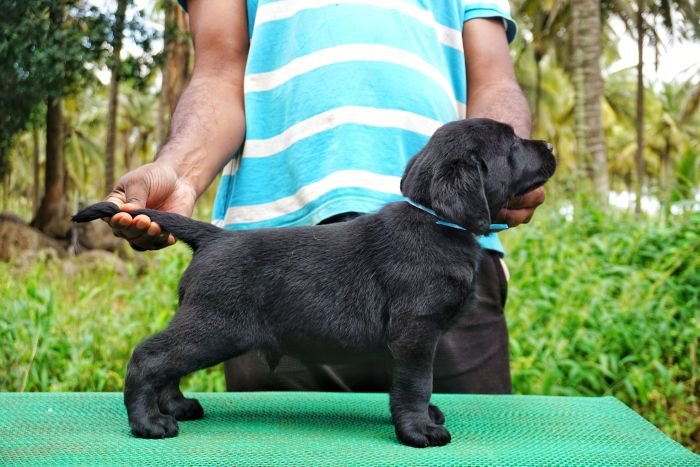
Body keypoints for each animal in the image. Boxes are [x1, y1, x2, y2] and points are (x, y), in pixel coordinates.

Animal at [74, 119, 556, 448]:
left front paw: (425, 417)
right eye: (512, 144)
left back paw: (176, 406)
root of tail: (214, 238)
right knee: (150, 357)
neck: (436, 221)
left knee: (167, 364)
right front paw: (419, 429)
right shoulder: (416, 334)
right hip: (213, 326)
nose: (550, 145)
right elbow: (416, 383)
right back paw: (150, 423)